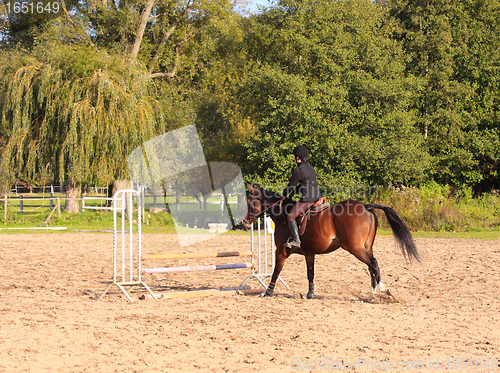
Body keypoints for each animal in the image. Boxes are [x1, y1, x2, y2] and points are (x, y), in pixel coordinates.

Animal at [240, 185, 420, 298]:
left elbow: (276, 271)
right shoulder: (309, 253)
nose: (244, 222)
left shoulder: (281, 252)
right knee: (371, 266)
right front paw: (310, 294)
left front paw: (267, 292)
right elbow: (310, 273)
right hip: (366, 247)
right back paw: (373, 293)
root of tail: (365, 206)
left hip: (355, 247)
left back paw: (382, 288)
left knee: (373, 263)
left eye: (249, 201)